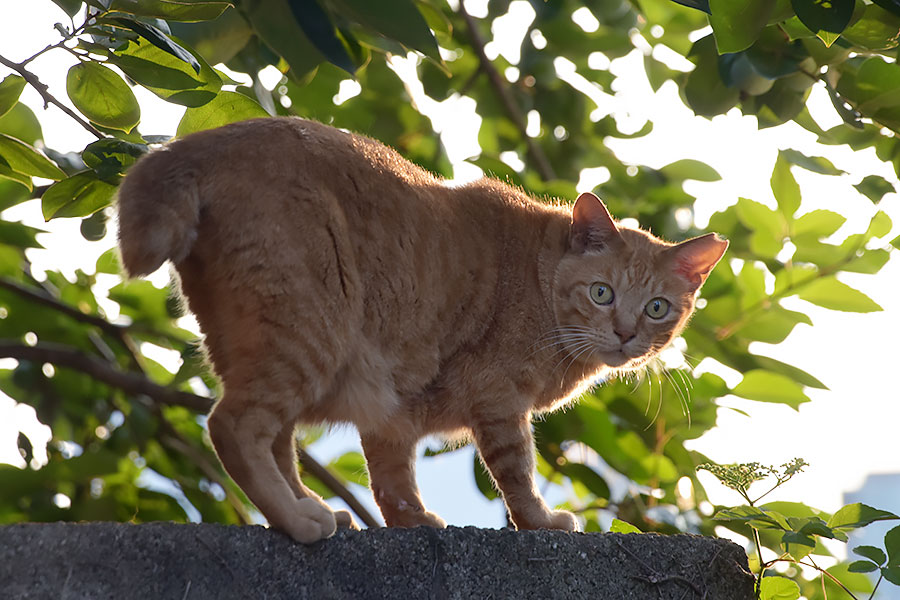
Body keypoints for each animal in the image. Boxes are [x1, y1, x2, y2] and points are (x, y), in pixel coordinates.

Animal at [116, 117, 728, 544]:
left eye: (656, 308)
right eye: (602, 293)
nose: (626, 334)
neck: (541, 281)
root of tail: (197, 144)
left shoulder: (393, 408)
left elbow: (392, 479)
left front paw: (410, 520)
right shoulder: (498, 399)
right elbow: (517, 474)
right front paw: (542, 521)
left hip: (271, 344)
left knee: (277, 441)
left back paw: (311, 507)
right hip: (307, 334)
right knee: (233, 426)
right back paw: (296, 519)